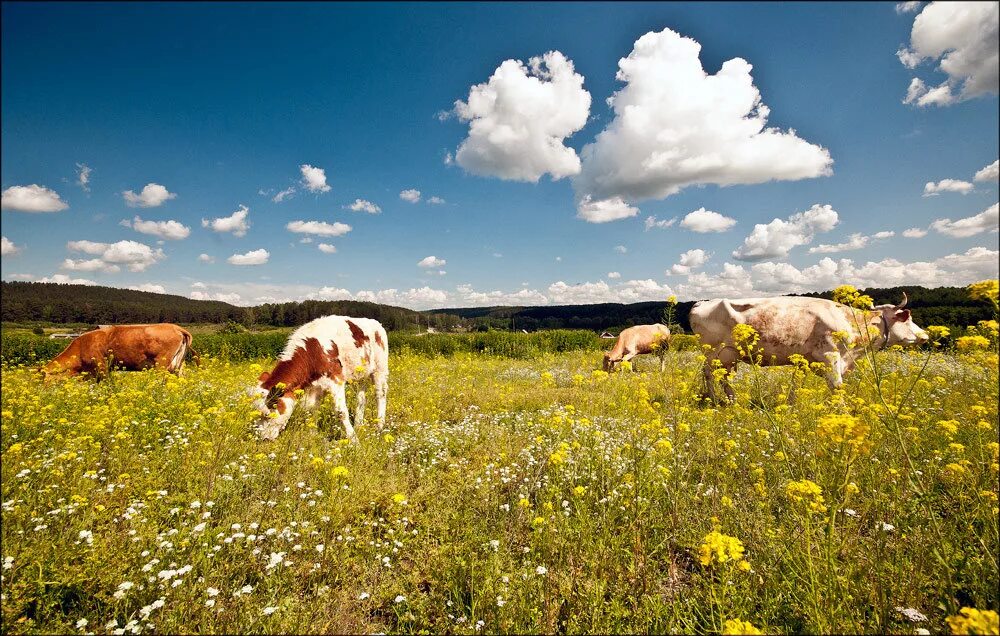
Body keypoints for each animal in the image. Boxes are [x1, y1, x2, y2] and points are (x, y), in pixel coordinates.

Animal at [252, 314, 388, 442]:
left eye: (267, 415)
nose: (263, 438)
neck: (313, 350)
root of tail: (375, 323)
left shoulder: (336, 380)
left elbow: (341, 412)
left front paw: (354, 442)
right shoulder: (315, 386)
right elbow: (313, 410)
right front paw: (313, 436)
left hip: (380, 369)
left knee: (380, 395)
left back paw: (379, 427)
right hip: (361, 375)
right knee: (361, 399)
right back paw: (359, 425)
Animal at [688, 294, 928, 402]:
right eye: (907, 318)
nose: (925, 335)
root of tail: (702, 302)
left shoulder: (806, 360)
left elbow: (797, 384)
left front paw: (791, 405)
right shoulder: (831, 356)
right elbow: (837, 387)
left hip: (728, 356)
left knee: (722, 377)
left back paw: (732, 400)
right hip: (714, 352)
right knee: (708, 374)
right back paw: (714, 401)